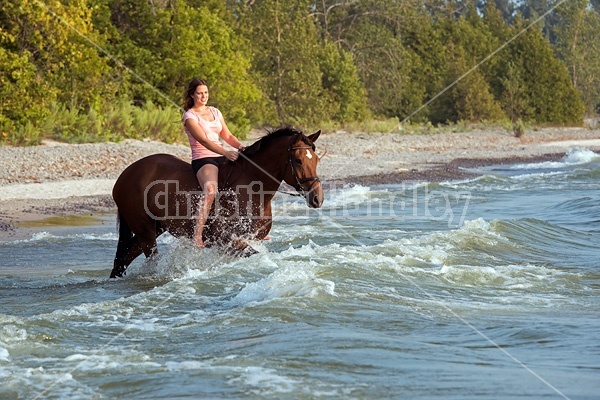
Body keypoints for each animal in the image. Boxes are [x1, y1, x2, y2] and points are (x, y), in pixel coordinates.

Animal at [109, 128, 322, 278]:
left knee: (122, 260)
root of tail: (126, 174)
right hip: (145, 231)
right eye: (298, 161)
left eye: (317, 159)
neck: (253, 189)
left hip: (154, 228)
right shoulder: (227, 239)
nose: (317, 198)